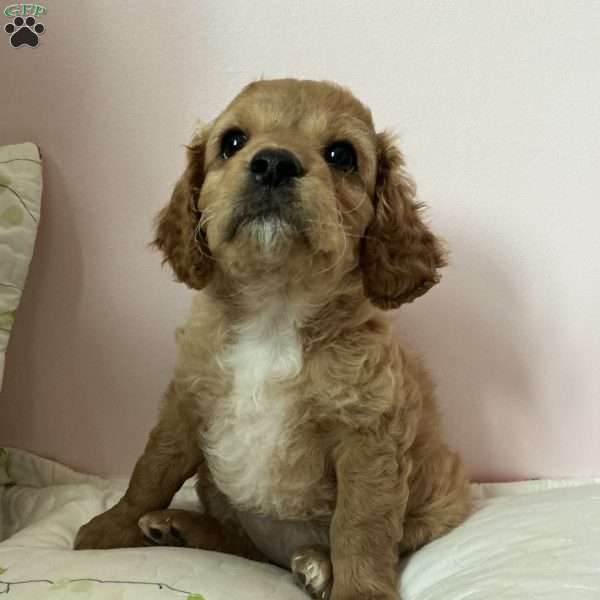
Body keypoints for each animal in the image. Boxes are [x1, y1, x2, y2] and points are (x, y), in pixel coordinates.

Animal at [74, 79, 468, 600]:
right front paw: (108, 530)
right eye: (233, 142)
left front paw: (360, 591)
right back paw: (176, 526)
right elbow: (150, 471)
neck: (274, 308)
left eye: (342, 155)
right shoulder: (186, 403)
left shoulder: (368, 437)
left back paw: (317, 564)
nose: (274, 163)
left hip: (441, 503)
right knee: (240, 543)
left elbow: (361, 526)